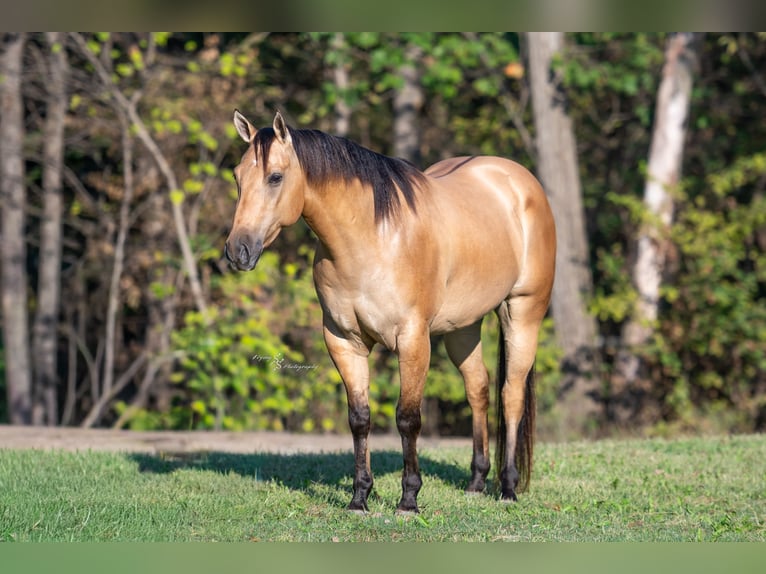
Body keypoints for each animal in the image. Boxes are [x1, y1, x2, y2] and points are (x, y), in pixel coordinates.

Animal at [225, 111, 556, 514]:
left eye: (275, 177)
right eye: (238, 176)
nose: (237, 251)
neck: (371, 238)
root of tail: (518, 180)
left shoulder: (412, 340)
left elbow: (407, 418)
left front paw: (409, 499)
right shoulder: (343, 341)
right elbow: (359, 418)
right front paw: (359, 497)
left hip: (522, 313)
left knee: (511, 395)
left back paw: (507, 487)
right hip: (462, 328)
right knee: (478, 388)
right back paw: (477, 482)